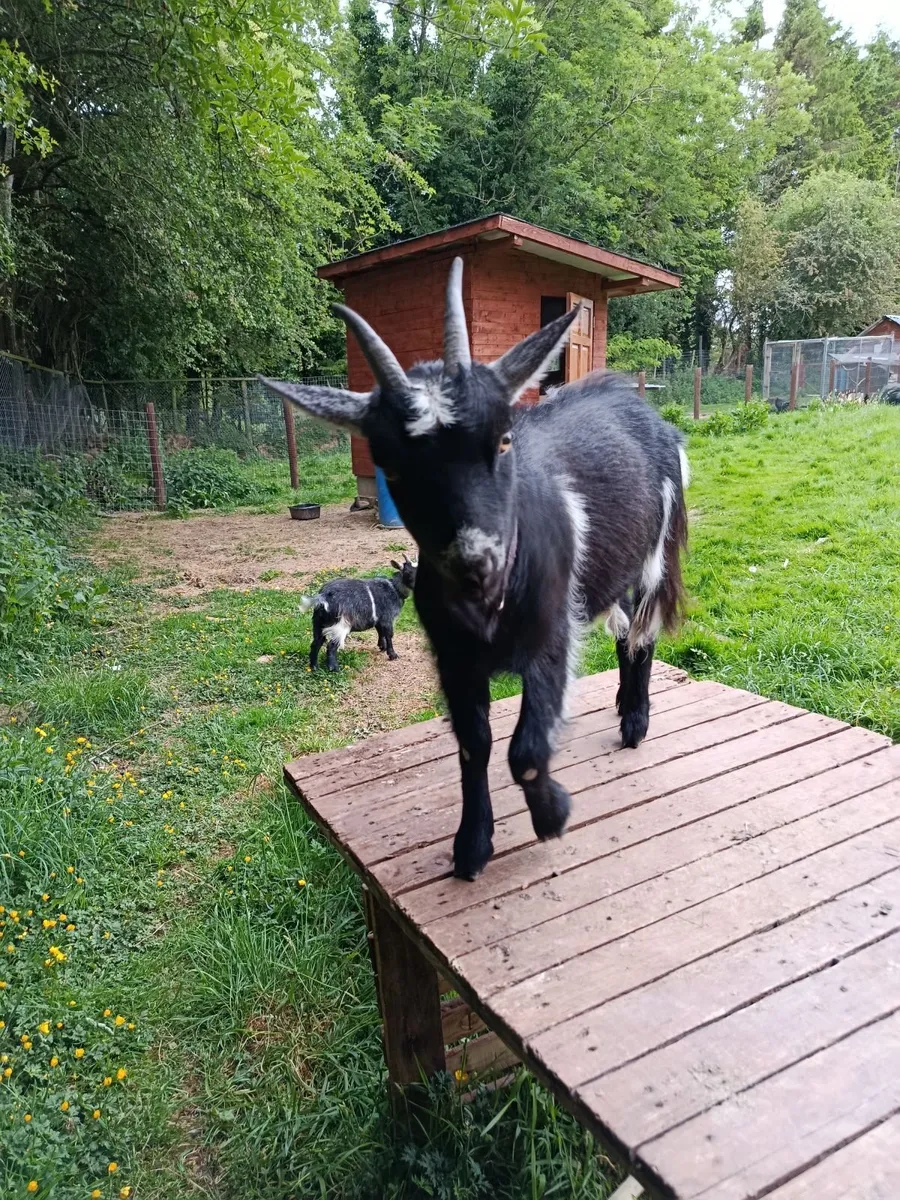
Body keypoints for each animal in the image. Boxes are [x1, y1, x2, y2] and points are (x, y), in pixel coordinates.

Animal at [261, 259, 688, 880]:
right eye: (390, 464)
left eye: (505, 439)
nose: (476, 562)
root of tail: (641, 409)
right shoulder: (454, 659)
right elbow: (474, 744)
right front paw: (470, 848)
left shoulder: (550, 637)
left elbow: (526, 749)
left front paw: (552, 816)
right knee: (623, 624)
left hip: (656, 551)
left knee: (642, 633)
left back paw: (634, 724)